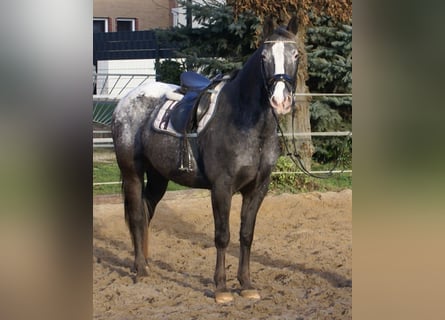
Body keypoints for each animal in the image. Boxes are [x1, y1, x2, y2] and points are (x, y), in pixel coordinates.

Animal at [110, 17, 298, 302]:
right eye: (264, 56)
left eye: (296, 55)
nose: (280, 100)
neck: (247, 123)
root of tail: (126, 100)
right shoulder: (221, 187)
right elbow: (222, 236)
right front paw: (221, 288)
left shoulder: (257, 189)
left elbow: (246, 235)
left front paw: (246, 284)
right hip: (132, 172)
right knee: (137, 216)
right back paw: (141, 270)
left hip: (158, 177)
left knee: (146, 211)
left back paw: (144, 264)